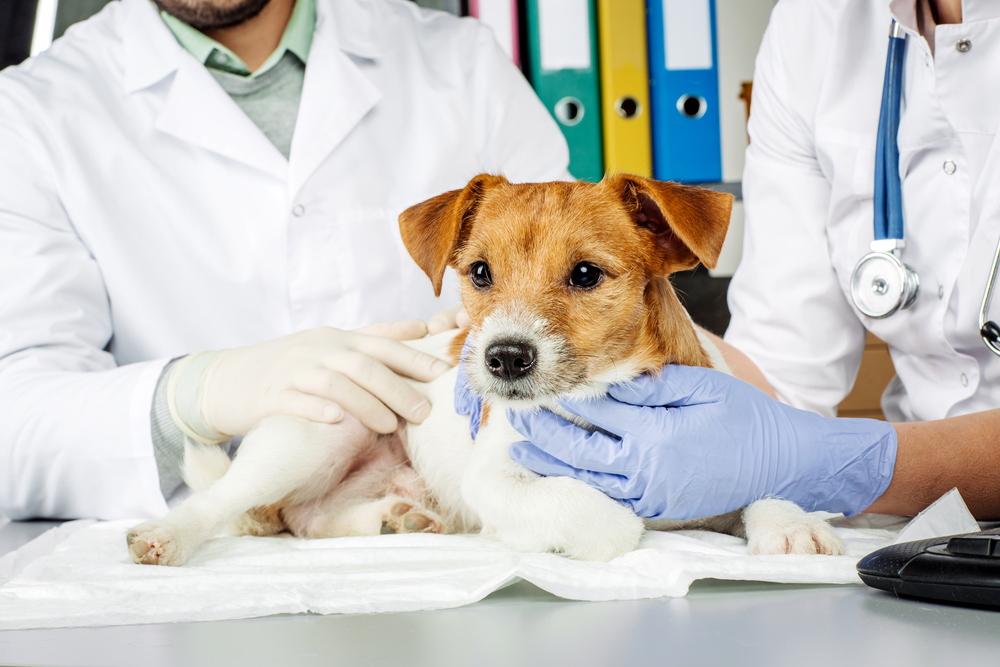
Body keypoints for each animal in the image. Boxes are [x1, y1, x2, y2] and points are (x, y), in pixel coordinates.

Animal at [125, 175, 844, 568]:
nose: (503, 357)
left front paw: (791, 523)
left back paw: (399, 519)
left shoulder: (715, 451)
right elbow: (604, 517)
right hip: (318, 431)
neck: (605, 400)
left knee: (308, 519)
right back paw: (167, 535)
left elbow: (764, 482)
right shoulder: (497, 477)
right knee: (228, 501)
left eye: (586, 273)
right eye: (478, 272)